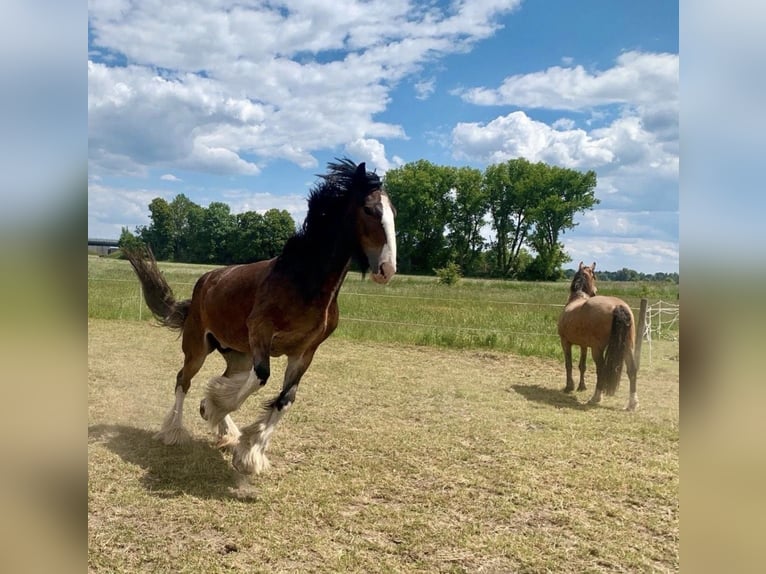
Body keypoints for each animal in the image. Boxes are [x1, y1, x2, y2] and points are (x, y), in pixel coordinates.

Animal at [123, 159, 397, 474]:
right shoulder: (261, 334)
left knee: (224, 377)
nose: (387, 269)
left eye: (393, 213)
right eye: (369, 210)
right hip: (197, 348)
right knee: (183, 380)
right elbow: (260, 379)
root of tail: (202, 284)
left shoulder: (304, 352)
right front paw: (220, 415)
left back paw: (224, 429)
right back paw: (175, 431)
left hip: (237, 354)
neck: (303, 282)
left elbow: (284, 399)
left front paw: (247, 449)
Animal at [557, 262, 639, 411]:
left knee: (601, 370)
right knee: (632, 370)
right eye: (594, 276)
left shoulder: (565, 342)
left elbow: (569, 364)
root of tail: (618, 306)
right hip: (628, 347)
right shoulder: (583, 345)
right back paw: (632, 403)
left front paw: (569, 387)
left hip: (597, 349)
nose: (595, 291)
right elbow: (582, 365)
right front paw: (581, 387)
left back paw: (596, 398)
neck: (577, 298)